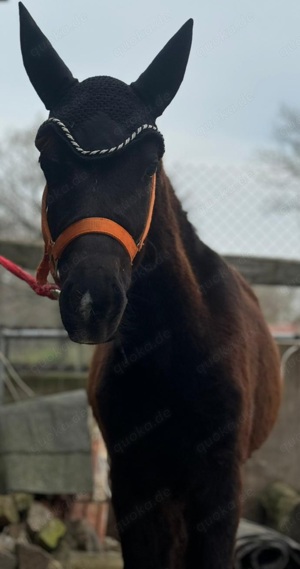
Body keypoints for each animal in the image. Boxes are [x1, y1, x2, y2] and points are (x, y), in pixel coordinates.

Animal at [19, 5, 282, 568]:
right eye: (47, 158)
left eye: (151, 160)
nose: (92, 303)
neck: (174, 352)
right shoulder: (133, 483)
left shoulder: (221, 486)